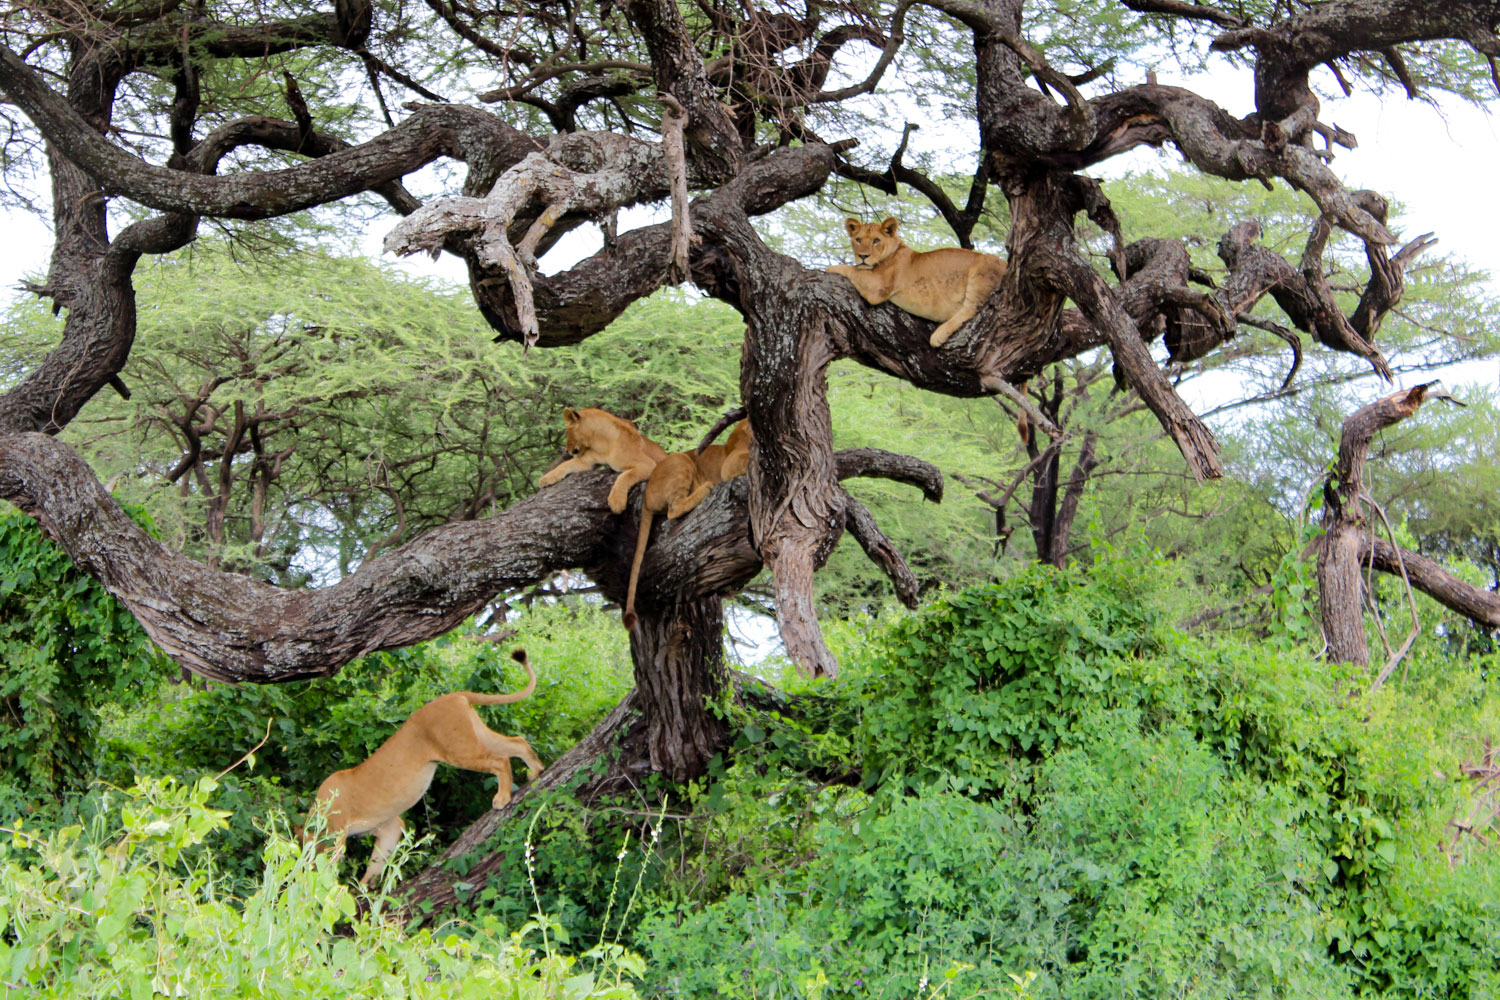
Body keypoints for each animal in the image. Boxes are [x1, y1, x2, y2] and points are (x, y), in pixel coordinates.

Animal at [307, 649, 544, 887]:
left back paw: (502, 797)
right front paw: (368, 888)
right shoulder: (388, 826)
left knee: (501, 760)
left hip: (458, 749)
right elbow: (377, 861)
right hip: (475, 736)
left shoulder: (335, 833)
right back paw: (536, 772)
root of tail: (455, 695)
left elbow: (326, 867)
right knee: (518, 742)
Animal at [537, 406, 668, 514]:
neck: (601, 443)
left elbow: (625, 476)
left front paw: (616, 502)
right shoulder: (587, 462)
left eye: (567, 432)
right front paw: (546, 478)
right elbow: (564, 465)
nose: (567, 450)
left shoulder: (648, 464)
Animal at [826, 217, 1007, 347]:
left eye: (876, 240)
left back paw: (938, 336)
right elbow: (856, 268)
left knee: (971, 308)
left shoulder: (878, 287)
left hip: (983, 264)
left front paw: (829, 267)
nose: (863, 256)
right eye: (858, 240)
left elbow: (852, 269)